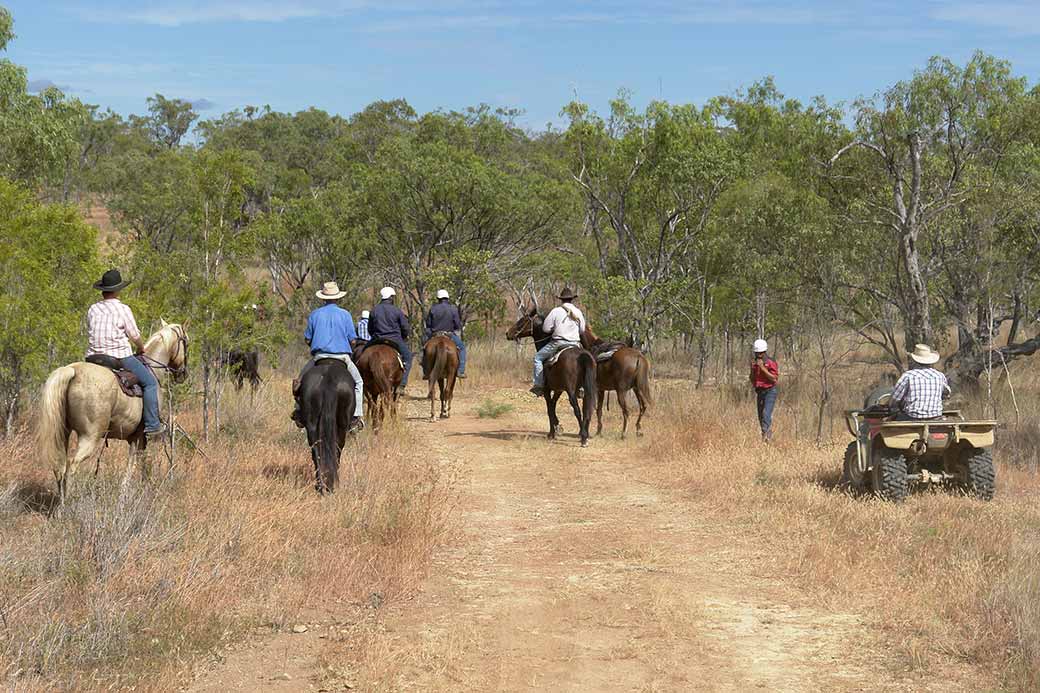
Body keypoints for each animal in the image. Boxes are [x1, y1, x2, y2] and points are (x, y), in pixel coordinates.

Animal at [36, 320, 189, 499]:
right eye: (186, 342)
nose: (183, 374)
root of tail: (73, 371)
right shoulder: (140, 436)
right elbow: (135, 465)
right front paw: (128, 493)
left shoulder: (134, 438)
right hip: (89, 436)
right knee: (71, 466)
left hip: (63, 432)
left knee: (59, 467)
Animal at [297, 355, 357, 491]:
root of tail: (329, 378)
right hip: (342, 425)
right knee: (337, 449)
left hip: (312, 423)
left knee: (316, 449)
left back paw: (321, 485)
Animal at [505, 308, 599, 447]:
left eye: (522, 321)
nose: (508, 333)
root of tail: (582, 355)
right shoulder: (559, 389)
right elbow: (553, 405)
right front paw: (558, 426)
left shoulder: (547, 389)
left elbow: (549, 408)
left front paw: (552, 433)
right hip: (588, 389)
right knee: (587, 409)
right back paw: (585, 434)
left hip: (571, 391)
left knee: (577, 409)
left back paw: (583, 437)